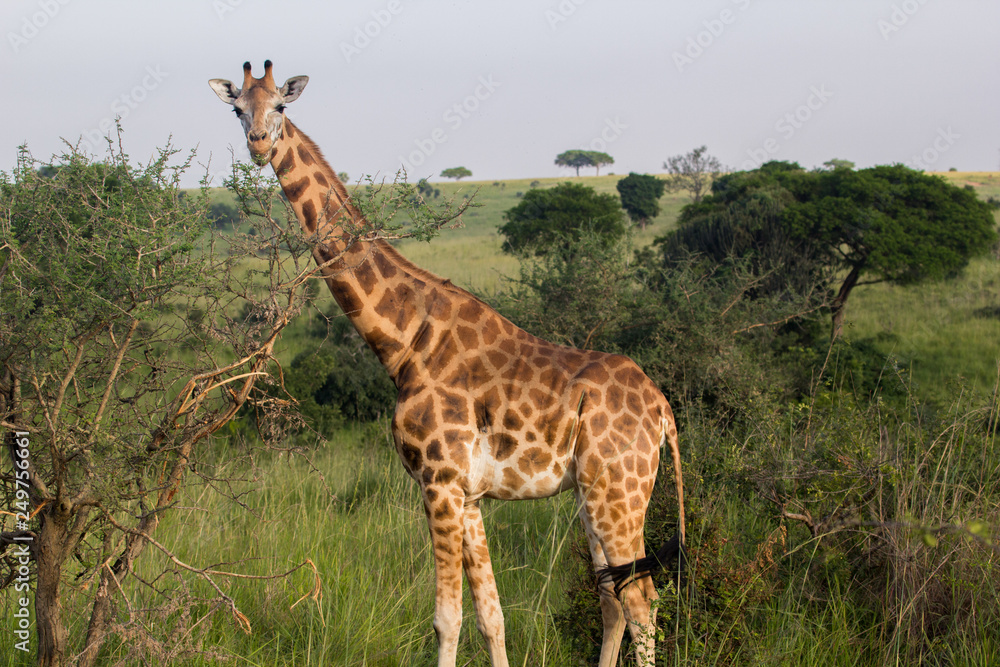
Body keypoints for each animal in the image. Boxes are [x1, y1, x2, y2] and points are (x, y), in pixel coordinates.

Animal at [207, 60, 684, 664]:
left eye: (281, 106)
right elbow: (491, 616)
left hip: (620, 491)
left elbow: (446, 617)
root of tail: (663, 410)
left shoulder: (438, 481)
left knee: (643, 602)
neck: (406, 341)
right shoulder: (470, 494)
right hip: (593, 493)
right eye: (236, 109)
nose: (259, 144)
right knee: (613, 598)